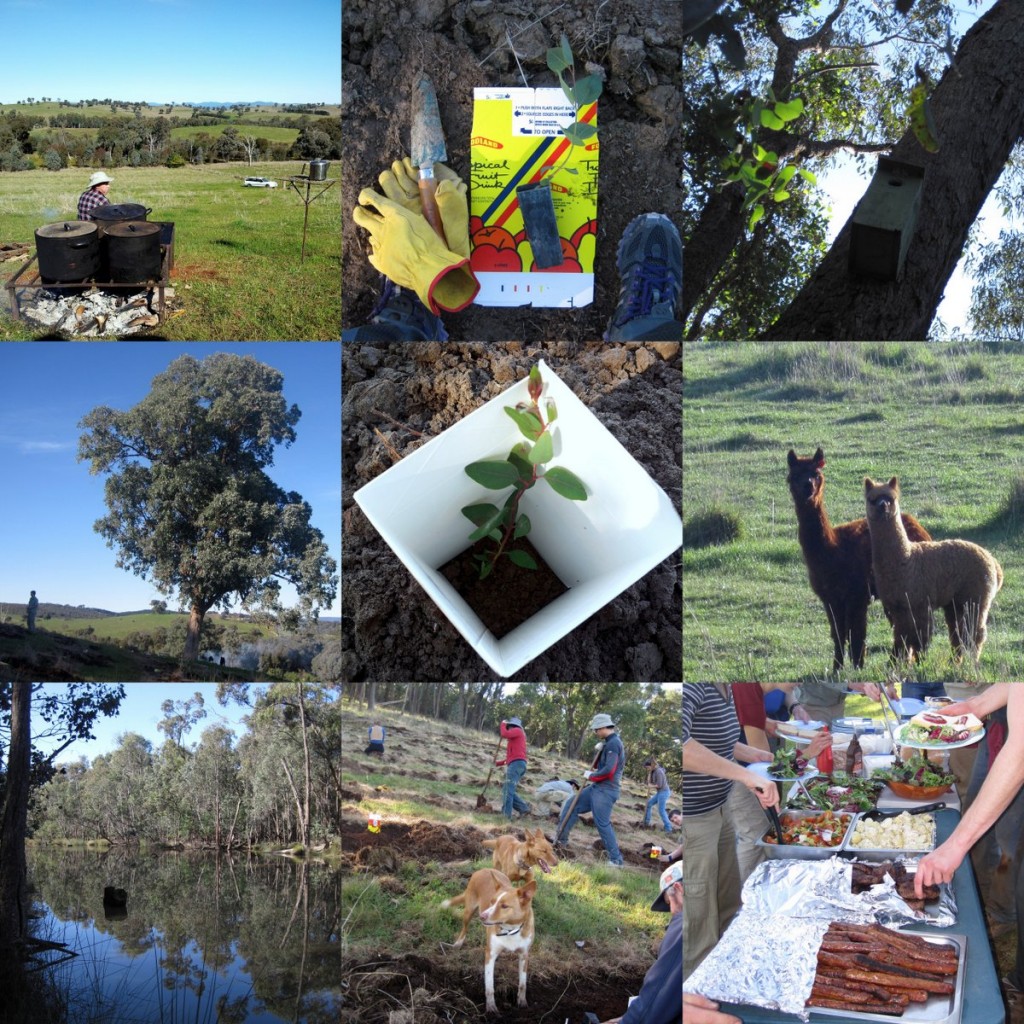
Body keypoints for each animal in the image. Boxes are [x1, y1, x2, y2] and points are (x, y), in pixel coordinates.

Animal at [440, 868, 536, 1011]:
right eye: (492, 901)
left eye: (504, 906)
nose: (482, 916)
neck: (510, 930)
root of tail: (484, 869)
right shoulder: (490, 954)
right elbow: (490, 985)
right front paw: (491, 1008)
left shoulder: (524, 955)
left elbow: (523, 984)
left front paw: (522, 1002)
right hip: (469, 910)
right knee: (464, 928)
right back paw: (458, 943)